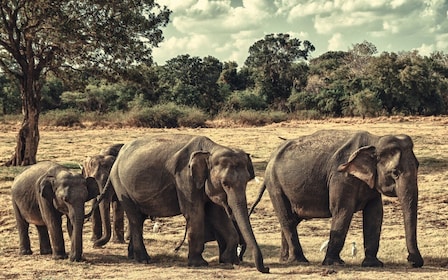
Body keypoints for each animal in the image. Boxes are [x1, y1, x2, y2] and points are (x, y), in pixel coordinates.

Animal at [100, 135, 270, 272]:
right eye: (225, 183)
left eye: (247, 181)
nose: (267, 268)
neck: (210, 150)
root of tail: (118, 157)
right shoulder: (184, 178)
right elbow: (194, 214)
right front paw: (199, 264)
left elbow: (217, 215)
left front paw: (228, 260)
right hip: (121, 185)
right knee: (135, 218)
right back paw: (144, 259)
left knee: (138, 219)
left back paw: (133, 257)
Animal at [252, 130, 424, 268]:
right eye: (395, 172)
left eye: (418, 166)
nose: (413, 262)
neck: (374, 140)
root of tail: (271, 158)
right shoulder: (341, 176)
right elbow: (342, 210)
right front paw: (335, 263)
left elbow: (375, 214)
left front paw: (373, 264)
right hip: (275, 185)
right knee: (287, 218)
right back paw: (300, 261)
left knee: (291, 220)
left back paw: (285, 260)